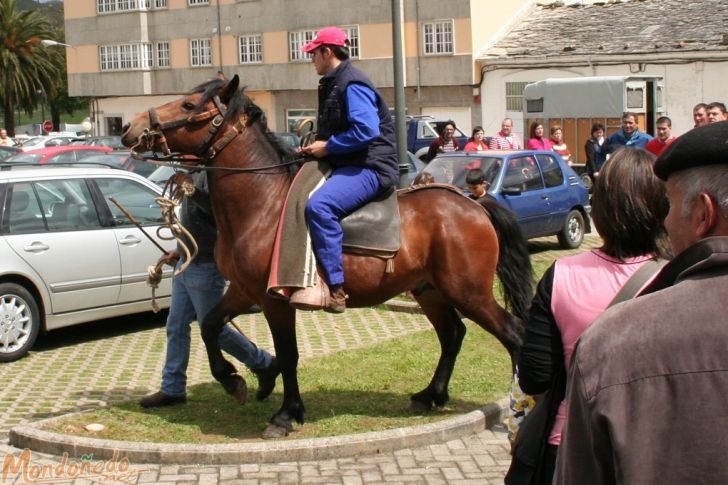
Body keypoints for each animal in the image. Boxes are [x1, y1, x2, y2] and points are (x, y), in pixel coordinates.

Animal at [122, 75, 532, 438]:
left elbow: (288, 354)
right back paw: (431, 394)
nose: (131, 125)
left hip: (469, 292)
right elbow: (209, 326)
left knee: (513, 334)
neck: (263, 203)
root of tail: (473, 204)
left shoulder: (276, 301)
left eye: (189, 106)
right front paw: (234, 380)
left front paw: (287, 413)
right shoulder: (242, 291)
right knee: (452, 335)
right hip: (430, 291)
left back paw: (520, 403)